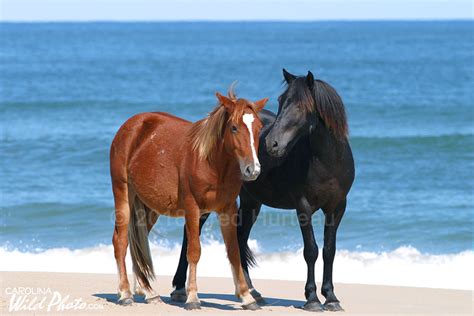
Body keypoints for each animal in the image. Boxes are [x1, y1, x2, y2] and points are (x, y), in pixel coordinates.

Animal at [109, 87, 268, 310]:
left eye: (259, 128)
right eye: (234, 128)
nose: (252, 169)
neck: (210, 163)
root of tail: (130, 126)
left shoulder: (228, 209)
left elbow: (234, 251)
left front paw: (246, 297)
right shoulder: (193, 209)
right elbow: (194, 251)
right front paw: (192, 297)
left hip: (149, 208)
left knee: (137, 244)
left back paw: (149, 292)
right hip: (123, 194)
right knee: (121, 241)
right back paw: (124, 293)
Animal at [169, 68, 352, 312]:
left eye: (301, 106)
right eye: (281, 101)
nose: (271, 143)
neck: (327, 162)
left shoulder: (337, 208)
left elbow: (329, 251)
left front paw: (331, 298)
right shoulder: (303, 207)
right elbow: (311, 250)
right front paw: (312, 298)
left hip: (251, 202)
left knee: (239, 239)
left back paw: (252, 292)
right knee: (191, 234)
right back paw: (180, 289)